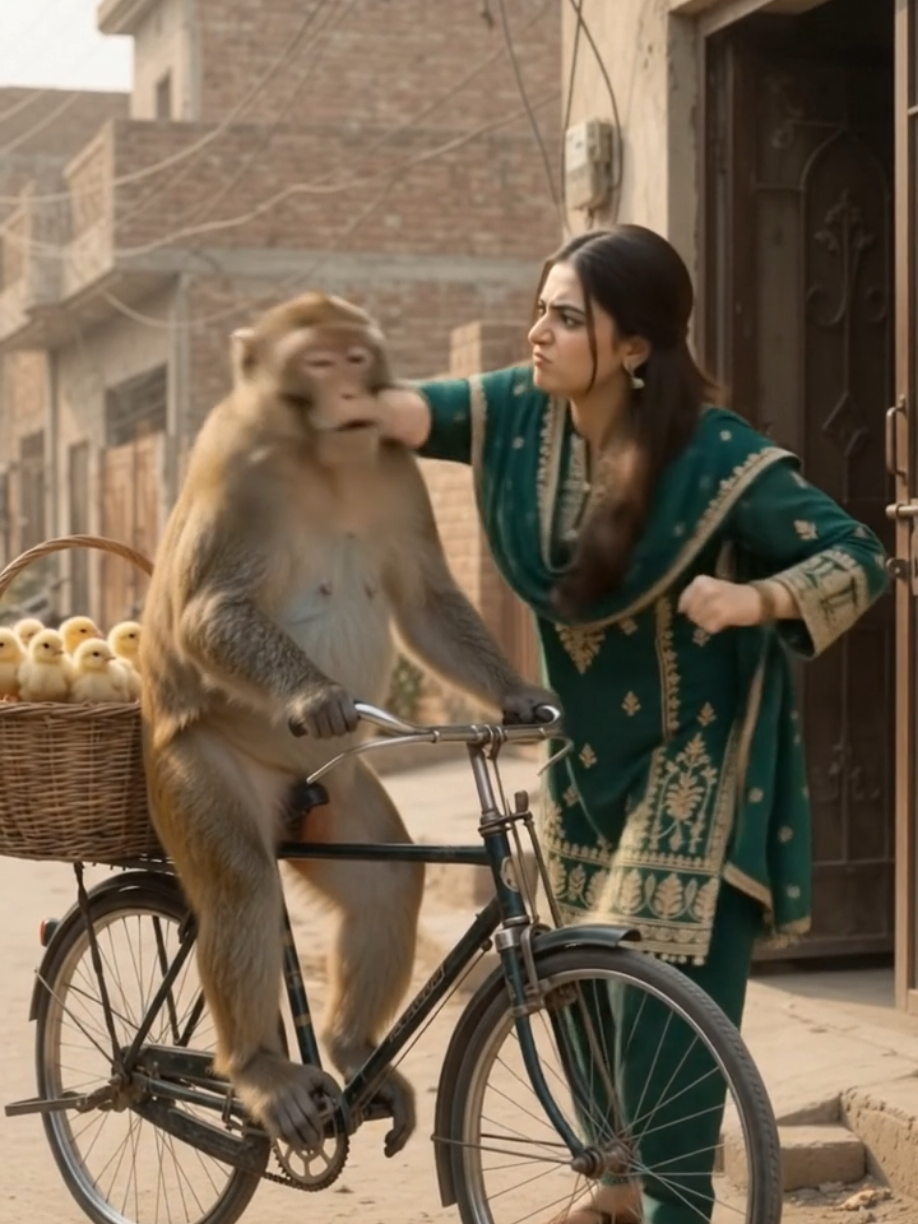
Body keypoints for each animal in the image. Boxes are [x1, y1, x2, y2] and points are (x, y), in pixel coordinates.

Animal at [139, 291, 557, 1160]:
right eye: (319, 361)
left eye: (356, 357)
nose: (349, 390)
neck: (321, 456)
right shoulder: (236, 466)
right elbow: (209, 611)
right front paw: (315, 699)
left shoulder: (397, 467)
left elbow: (426, 599)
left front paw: (519, 698)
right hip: (196, 764)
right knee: (241, 884)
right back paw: (260, 1073)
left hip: (329, 791)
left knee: (387, 882)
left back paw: (352, 1049)